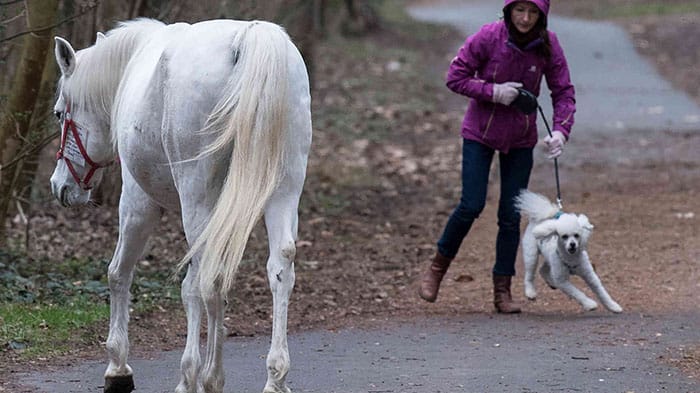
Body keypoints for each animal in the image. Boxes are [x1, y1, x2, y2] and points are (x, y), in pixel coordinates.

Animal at [47, 18, 310, 392]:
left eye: (59, 114)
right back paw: (274, 376)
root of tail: (247, 38)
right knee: (279, 266)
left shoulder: (137, 203)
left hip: (196, 197)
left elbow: (119, 273)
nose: (60, 186)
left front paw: (118, 367)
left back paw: (199, 375)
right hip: (284, 190)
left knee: (203, 281)